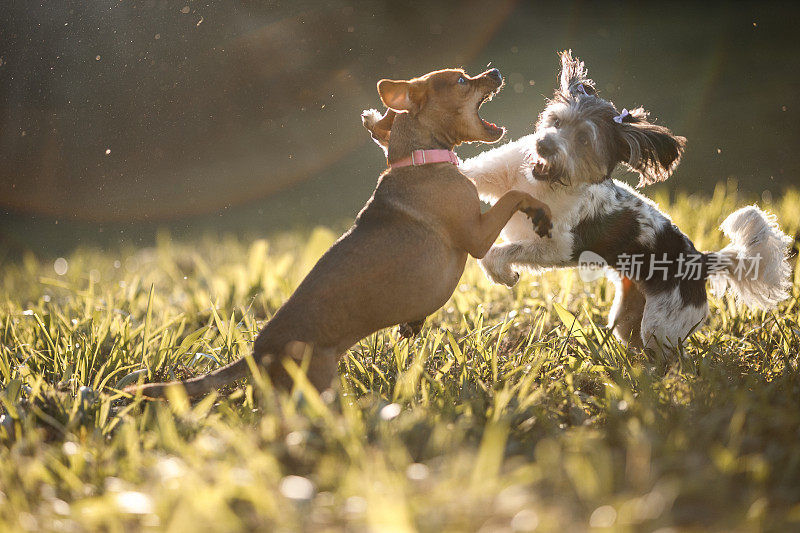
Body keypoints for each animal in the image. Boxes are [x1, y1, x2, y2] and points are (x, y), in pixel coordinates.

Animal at [126, 66, 552, 396]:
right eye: (462, 80)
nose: (495, 71)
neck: (420, 160)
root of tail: (260, 351)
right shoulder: (476, 236)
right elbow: (514, 195)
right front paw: (542, 213)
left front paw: (412, 324)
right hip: (316, 384)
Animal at [462, 52, 792, 356]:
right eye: (555, 121)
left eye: (584, 140)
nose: (543, 144)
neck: (541, 184)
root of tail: (701, 260)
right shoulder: (496, 172)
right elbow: (466, 174)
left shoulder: (558, 247)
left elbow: (498, 253)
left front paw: (503, 274)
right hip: (630, 314)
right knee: (633, 337)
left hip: (662, 326)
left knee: (672, 358)